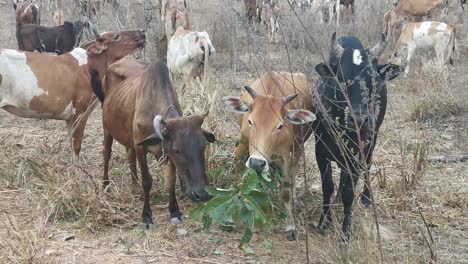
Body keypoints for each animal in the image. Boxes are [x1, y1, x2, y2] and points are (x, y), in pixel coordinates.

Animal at [0, 28, 146, 161]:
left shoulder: (70, 117)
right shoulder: (80, 112)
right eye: (116, 36)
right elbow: (77, 146)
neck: (90, 66)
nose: (142, 32)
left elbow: (71, 143)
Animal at [91, 60, 216, 227]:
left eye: (203, 146)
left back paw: (134, 186)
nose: (202, 194)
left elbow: (170, 182)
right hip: (107, 129)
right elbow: (147, 181)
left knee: (130, 157)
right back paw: (105, 185)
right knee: (106, 154)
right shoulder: (141, 147)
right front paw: (146, 215)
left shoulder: (165, 153)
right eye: (177, 150)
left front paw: (174, 211)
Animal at [222, 71, 316, 240]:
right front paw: (229, 219)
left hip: (299, 147)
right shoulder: (243, 142)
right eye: (250, 121)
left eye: (280, 125)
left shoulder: (285, 154)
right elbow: (237, 179)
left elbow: (285, 191)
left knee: (292, 175)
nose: (257, 163)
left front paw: (290, 226)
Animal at [312, 32, 400, 239]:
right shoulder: (320, 150)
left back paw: (366, 198)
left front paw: (345, 232)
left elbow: (349, 192)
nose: (359, 120)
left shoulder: (358, 152)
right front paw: (324, 221)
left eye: (373, 80)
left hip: (372, 140)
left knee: (367, 166)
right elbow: (327, 186)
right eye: (341, 79)